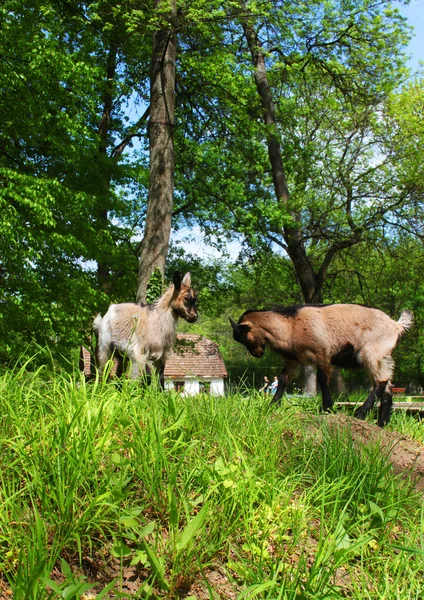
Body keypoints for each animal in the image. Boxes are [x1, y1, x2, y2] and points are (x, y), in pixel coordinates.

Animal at [230, 304, 412, 426]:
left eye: (244, 336)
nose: (257, 354)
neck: (291, 325)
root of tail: (396, 325)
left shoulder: (322, 353)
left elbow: (323, 379)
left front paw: (327, 408)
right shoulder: (293, 359)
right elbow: (283, 379)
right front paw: (272, 405)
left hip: (371, 352)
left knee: (380, 381)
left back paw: (361, 413)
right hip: (382, 356)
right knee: (387, 386)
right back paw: (382, 423)